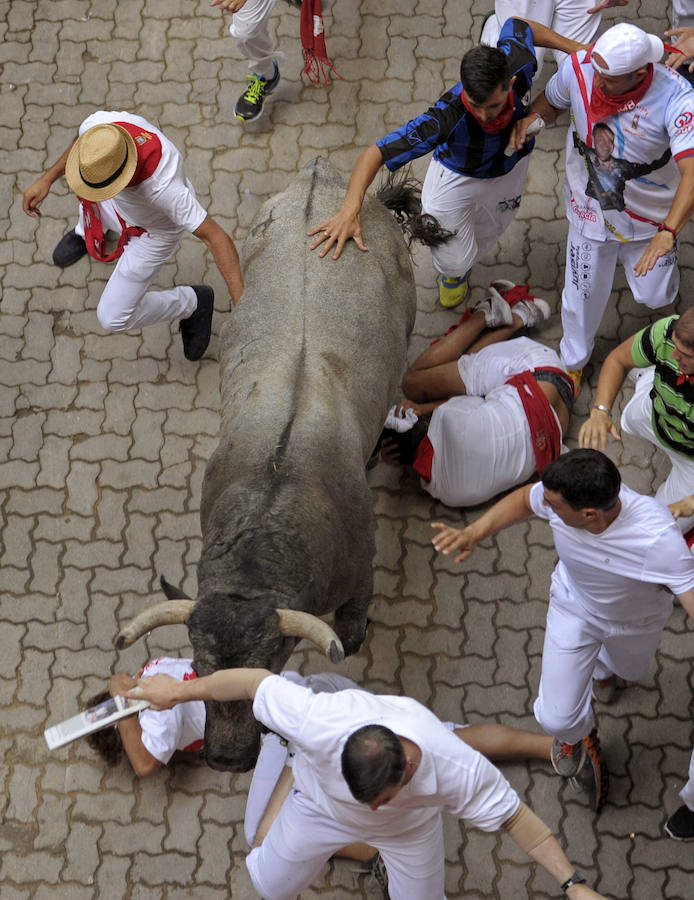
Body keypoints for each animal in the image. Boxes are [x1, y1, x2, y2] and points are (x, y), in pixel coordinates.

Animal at [117, 158, 418, 768]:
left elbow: (352, 631)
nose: (229, 757)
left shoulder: (359, 578)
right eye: (198, 666)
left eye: (269, 666)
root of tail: (326, 181)